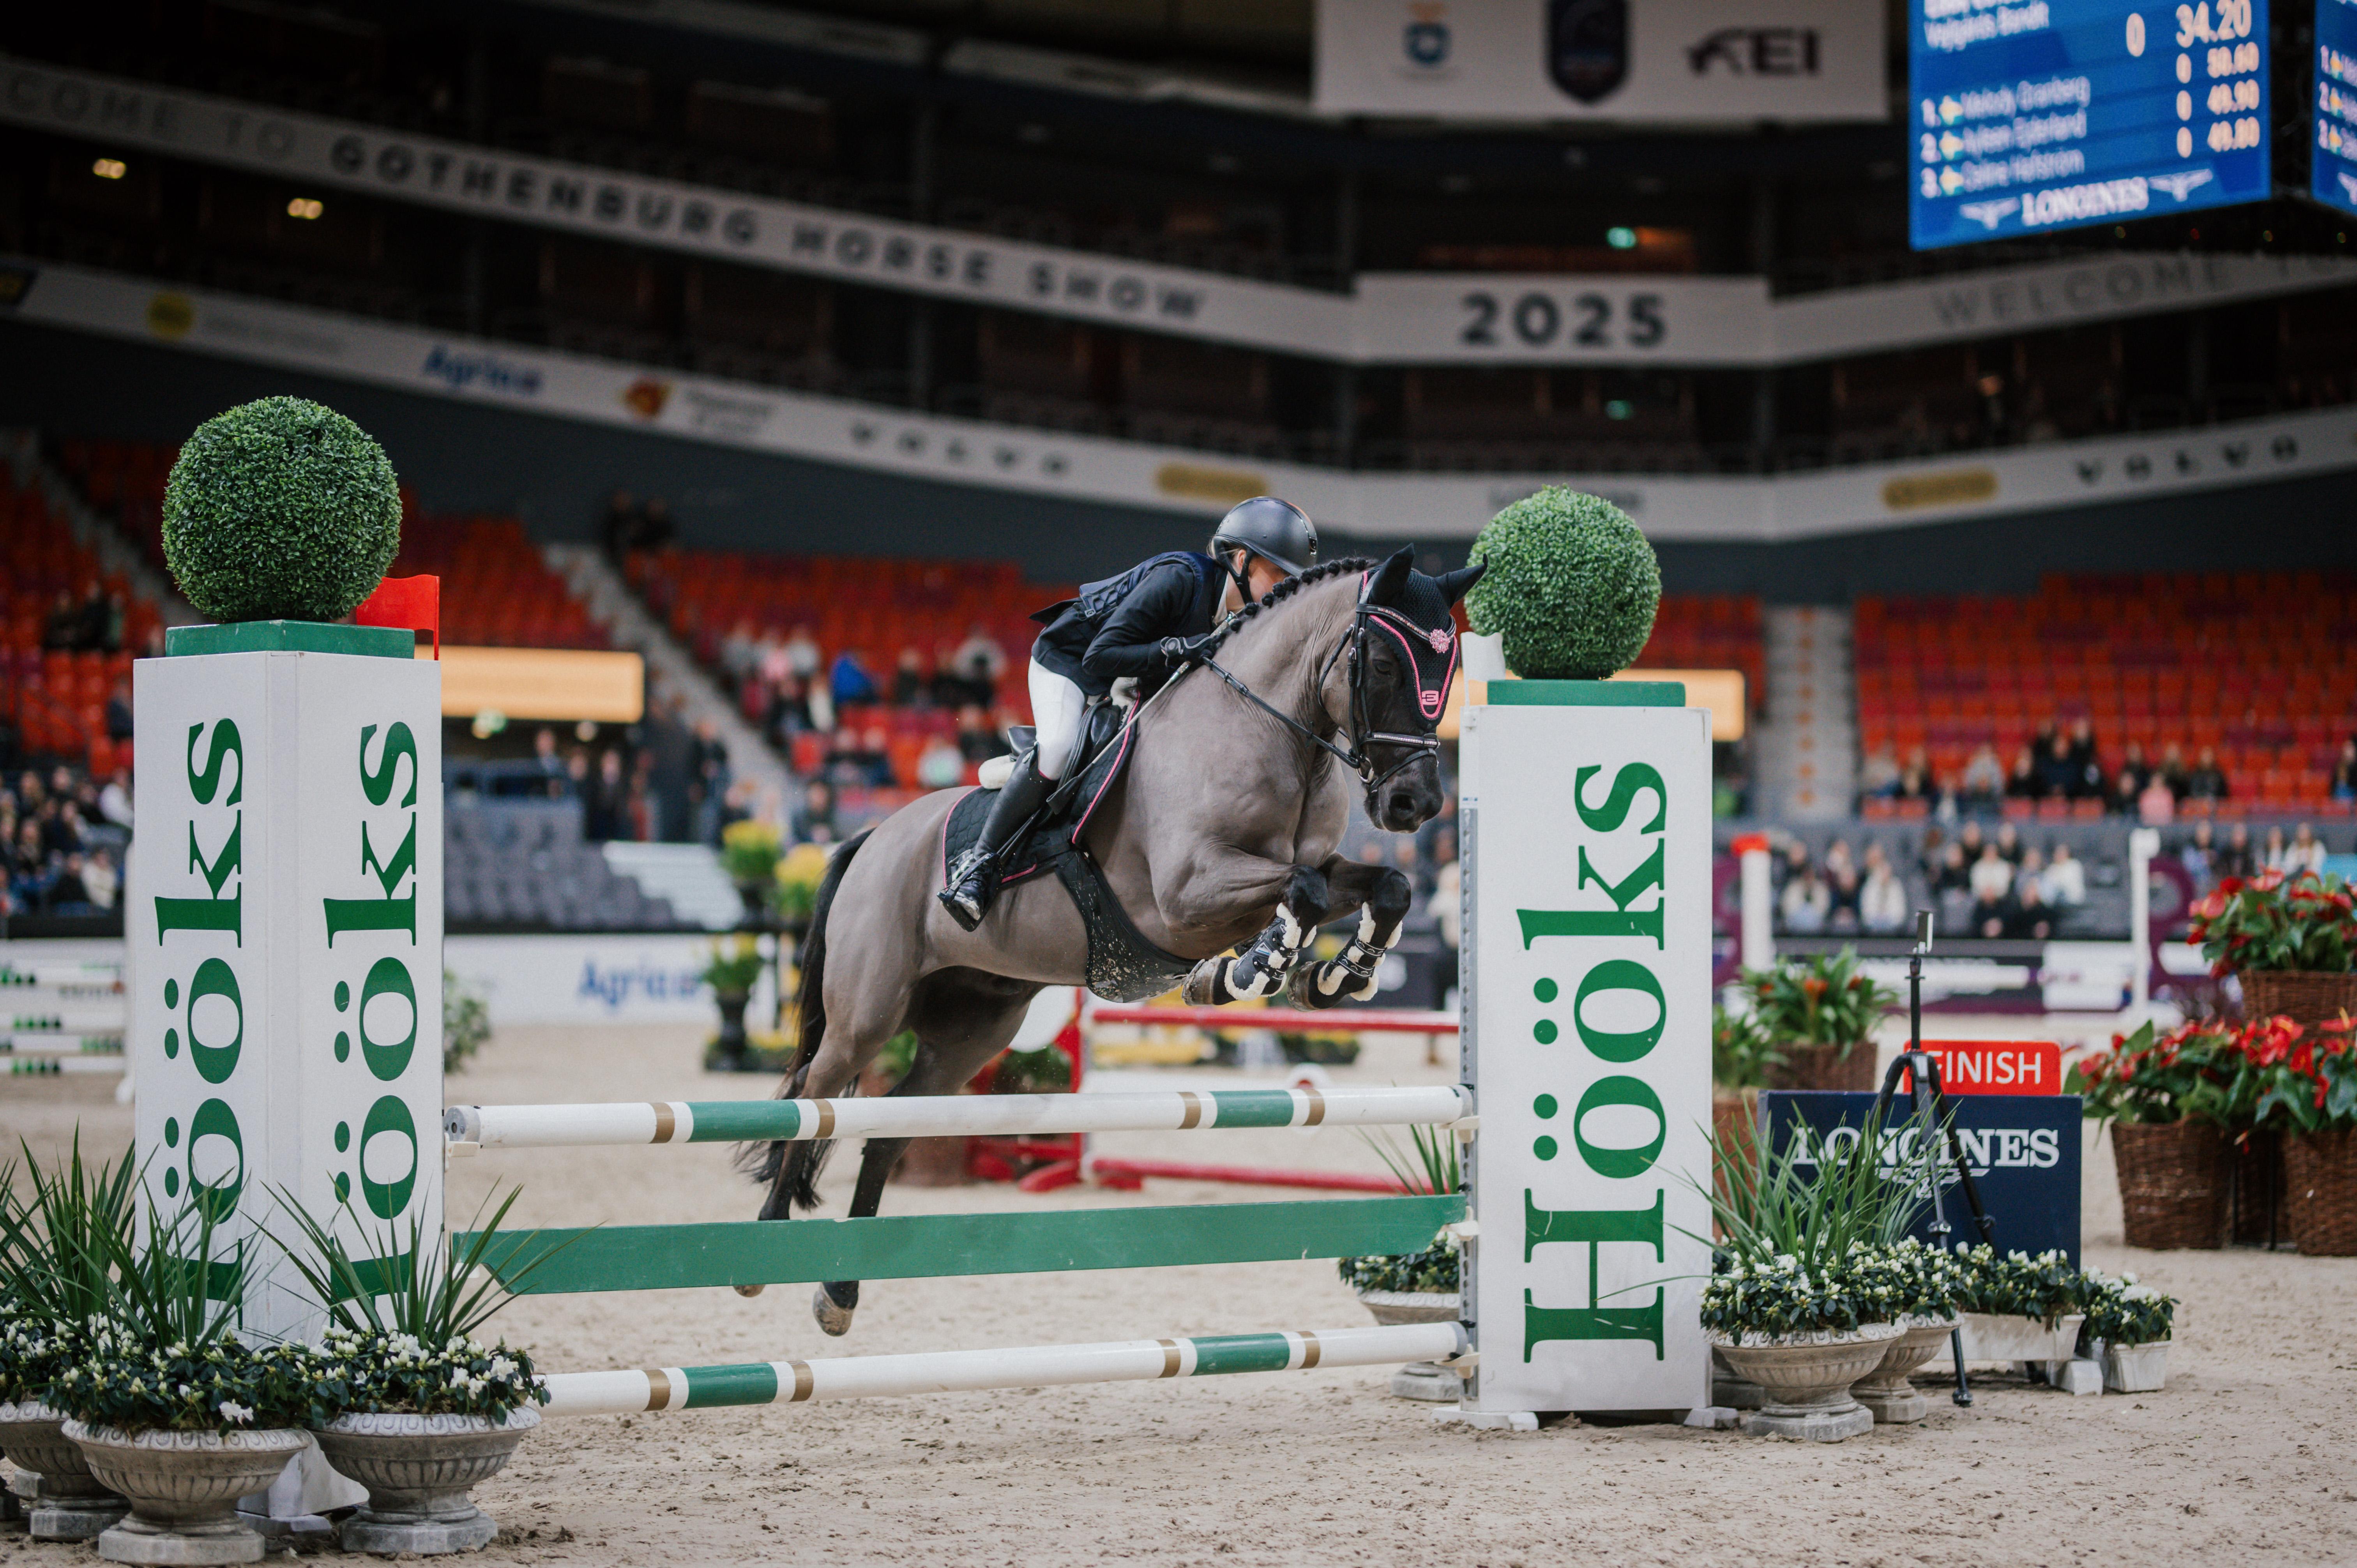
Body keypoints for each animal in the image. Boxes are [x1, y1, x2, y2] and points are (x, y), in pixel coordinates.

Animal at [743, 548, 1482, 1335]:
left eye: (1450, 668)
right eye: (1383, 663)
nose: (1415, 804)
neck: (1268, 729)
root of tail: (871, 836)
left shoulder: (1304, 871)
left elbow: (1384, 887)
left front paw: (1337, 976)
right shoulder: (1185, 898)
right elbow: (1302, 893)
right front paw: (1252, 971)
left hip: (971, 1029)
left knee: (886, 1129)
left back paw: (840, 1290)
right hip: (866, 1013)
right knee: (813, 1096)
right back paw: (763, 1250)